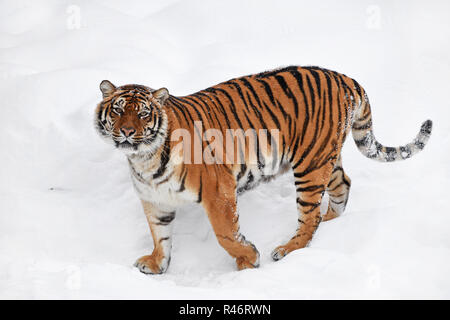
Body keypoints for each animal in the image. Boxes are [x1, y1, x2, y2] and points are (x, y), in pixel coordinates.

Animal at [95, 65, 432, 276]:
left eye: (142, 114)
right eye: (118, 110)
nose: (127, 132)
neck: (144, 159)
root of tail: (346, 79)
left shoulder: (219, 192)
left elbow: (226, 234)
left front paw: (249, 260)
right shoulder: (155, 200)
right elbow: (159, 236)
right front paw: (157, 265)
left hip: (309, 166)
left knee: (310, 215)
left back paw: (287, 249)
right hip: (325, 157)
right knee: (342, 185)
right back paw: (332, 224)